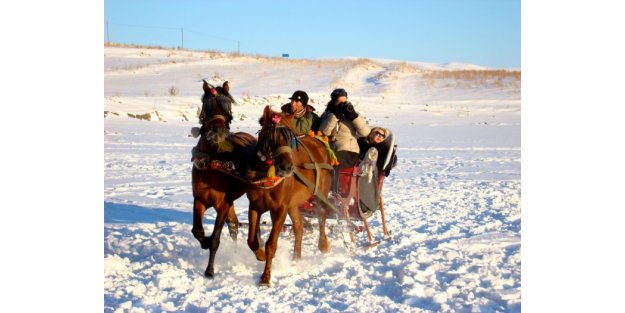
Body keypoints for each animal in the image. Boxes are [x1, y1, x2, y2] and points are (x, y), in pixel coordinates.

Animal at [191, 79, 258, 276]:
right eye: (207, 105)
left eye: (228, 105)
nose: (219, 132)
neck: (213, 161)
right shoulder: (199, 199)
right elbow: (197, 230)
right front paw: (204, 242)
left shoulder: (222, 203)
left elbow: (215, 238)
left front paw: (209, 271)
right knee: (234, 225)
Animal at [244, 105, 334, 286]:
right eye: (271, 137)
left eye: (291, 138)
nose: (287, 167)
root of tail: (319, 142)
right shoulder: (255, 206)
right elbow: (252, 240)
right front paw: (260, 255)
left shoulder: (280, 209)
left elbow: (272, 244)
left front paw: (265, 277)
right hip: (293, 203)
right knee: (299, 226)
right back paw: (296, 258)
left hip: (320, 193)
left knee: (322, 216)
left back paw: (323, 245)